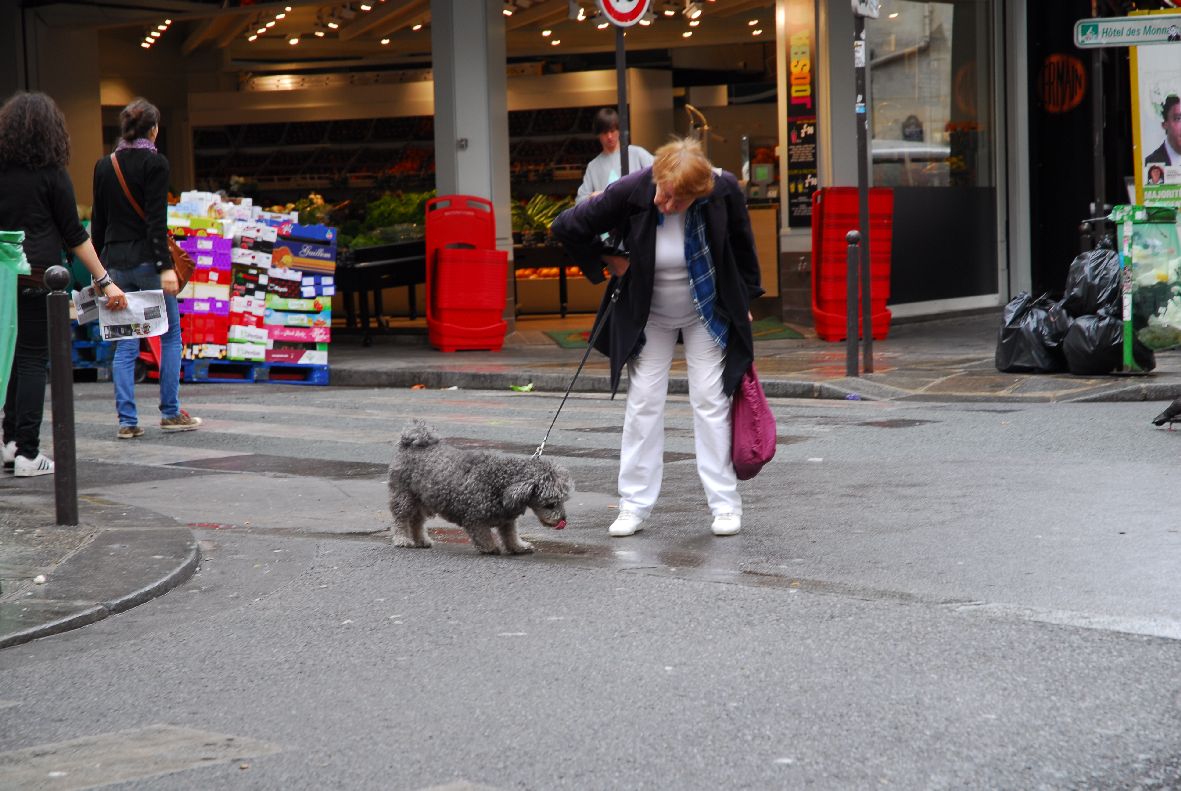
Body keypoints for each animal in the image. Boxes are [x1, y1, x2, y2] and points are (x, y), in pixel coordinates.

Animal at [388, 421, 574, 554]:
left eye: (562, 501)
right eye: (550, 504)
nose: (562, 519)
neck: (502, 482)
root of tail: (411, 442)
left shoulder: (507, 519)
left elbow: (510, 535)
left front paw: (518, 547)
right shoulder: (474, 518)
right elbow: (482, 535)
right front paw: (490, 548)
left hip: (422, 499)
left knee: (416, 520)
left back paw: (421, 540)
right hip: (404, 496)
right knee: (401, 519)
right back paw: (402, 539)